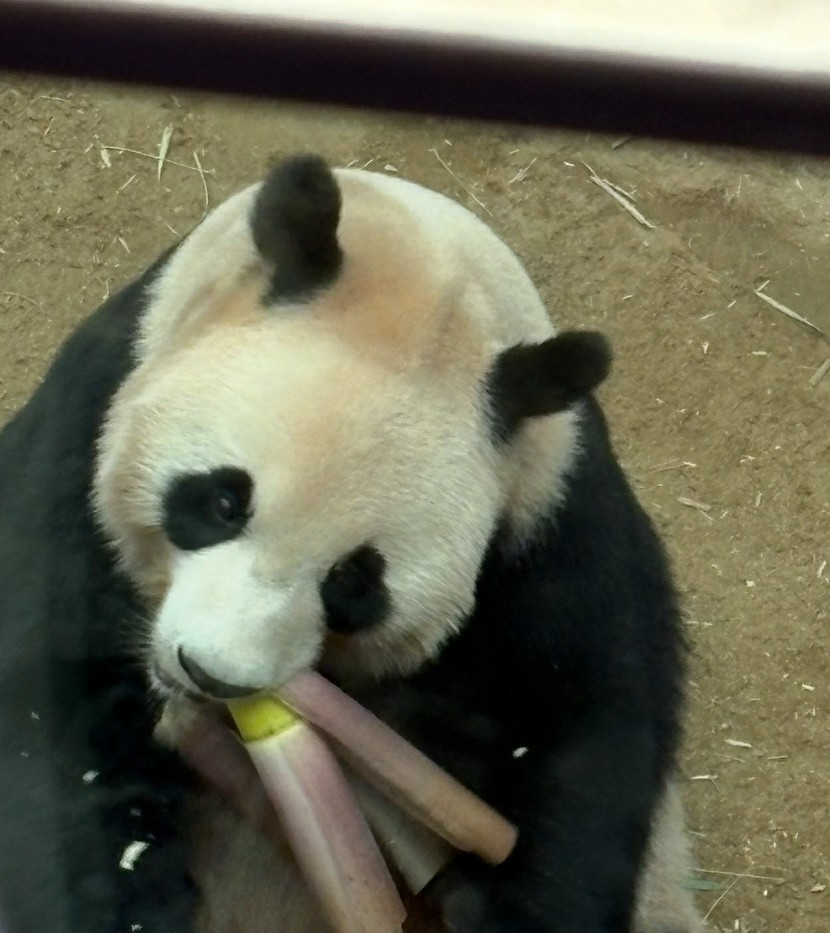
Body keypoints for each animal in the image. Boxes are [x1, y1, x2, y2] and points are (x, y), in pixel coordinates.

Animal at [0, 154, 702, 933]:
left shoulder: (550, 516)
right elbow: (47, 705)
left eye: (353, 582)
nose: (213, 675)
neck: (416, 273)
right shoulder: (82, 436)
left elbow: (582, 731)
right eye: (221, 502)